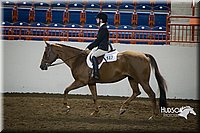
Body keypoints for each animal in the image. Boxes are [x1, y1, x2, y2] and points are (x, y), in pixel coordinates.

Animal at [39, 41, 167, 118]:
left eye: (45, 53)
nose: (41, 66)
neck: (77, 60)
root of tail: (144, 55)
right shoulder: (91, 83)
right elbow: (94, 97)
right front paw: (95, 112)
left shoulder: (81, 82)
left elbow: (66, 90)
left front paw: (66, 107)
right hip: (132, 79)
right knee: (136, 92)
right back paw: (122, 109)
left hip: (142, 80)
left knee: (151, 94)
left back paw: (153, 115)